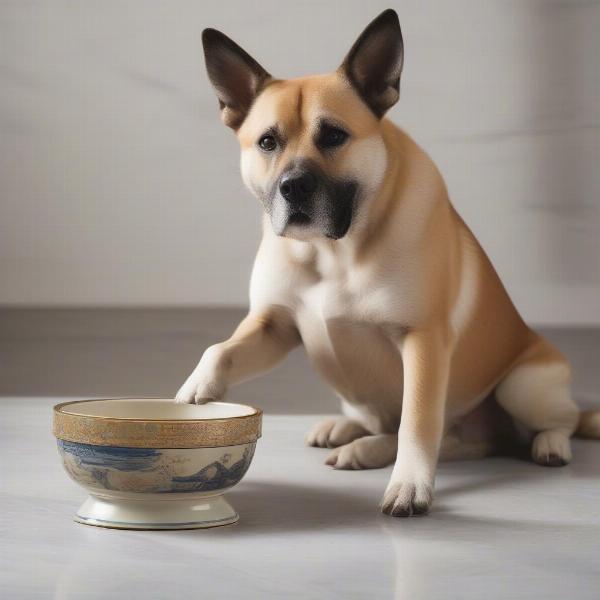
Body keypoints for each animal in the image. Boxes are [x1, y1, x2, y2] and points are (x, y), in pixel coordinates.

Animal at [175, 9, 600, 516]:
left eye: (333, 136)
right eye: (267, 142)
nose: (293, 187)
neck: (333, 250)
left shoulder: (422, 342)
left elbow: (417, 423)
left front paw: (410, 485)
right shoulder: (274, 328)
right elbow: (219, 349)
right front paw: (198, 385)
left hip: (524, 386)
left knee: (540, 423)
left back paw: (548, 444)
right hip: (364, 399)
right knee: (435, 436)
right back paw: (348, 435)